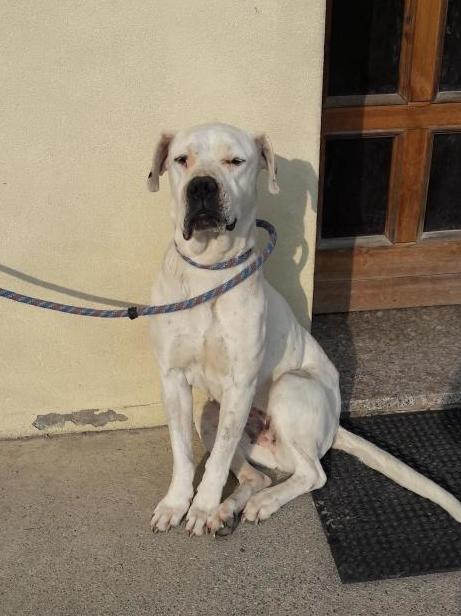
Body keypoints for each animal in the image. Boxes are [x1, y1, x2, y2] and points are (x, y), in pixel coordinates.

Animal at [147, 122, 461, 536]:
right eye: (182, 159)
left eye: (235, 161)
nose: (201, 186)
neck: (208, 273)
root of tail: (334, 423)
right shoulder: (172, 378)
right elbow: (183, 453)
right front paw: (177, 503)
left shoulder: (241, 383)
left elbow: (214, 464)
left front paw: (200, 508)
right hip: (212, 414)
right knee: (261, 474)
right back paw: (227, 510)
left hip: (290, 387)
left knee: (313, 474)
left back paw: (254, 504)